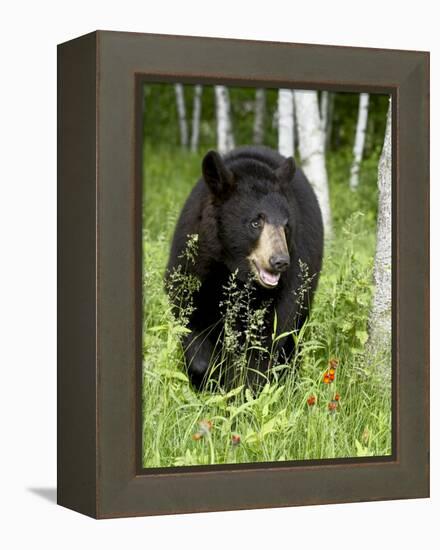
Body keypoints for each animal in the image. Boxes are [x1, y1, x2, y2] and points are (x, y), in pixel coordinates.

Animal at [165, 147, 324, 392]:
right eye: (255, 223)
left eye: (286, 225)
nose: (280, 261)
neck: (233, 270)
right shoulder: (194, 264)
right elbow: (189, 316)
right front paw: (208, 377)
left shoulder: (288, 285)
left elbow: (266, 342)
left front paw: (242, 389)